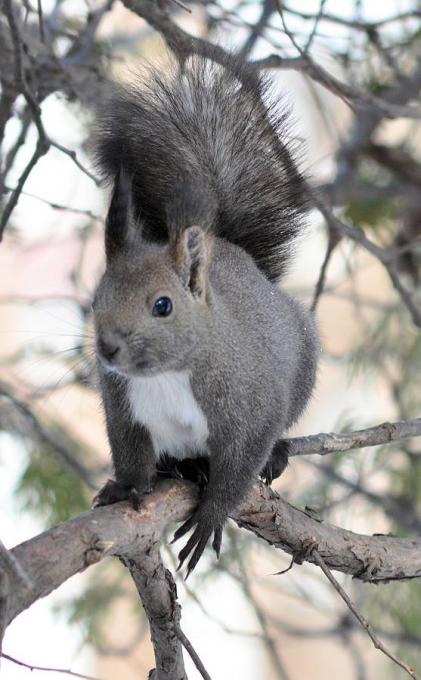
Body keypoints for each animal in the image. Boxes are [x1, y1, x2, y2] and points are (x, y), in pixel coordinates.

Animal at [91, 58, 316, 576]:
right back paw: (182, 466)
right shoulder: (123, 407)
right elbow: (129, 452)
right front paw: (127, 486)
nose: (108, 348)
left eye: (163, 305)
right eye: (96, 297)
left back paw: (273, 455)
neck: (166, 373)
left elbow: (239, 468)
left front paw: (212, 514)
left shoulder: (249, 406)